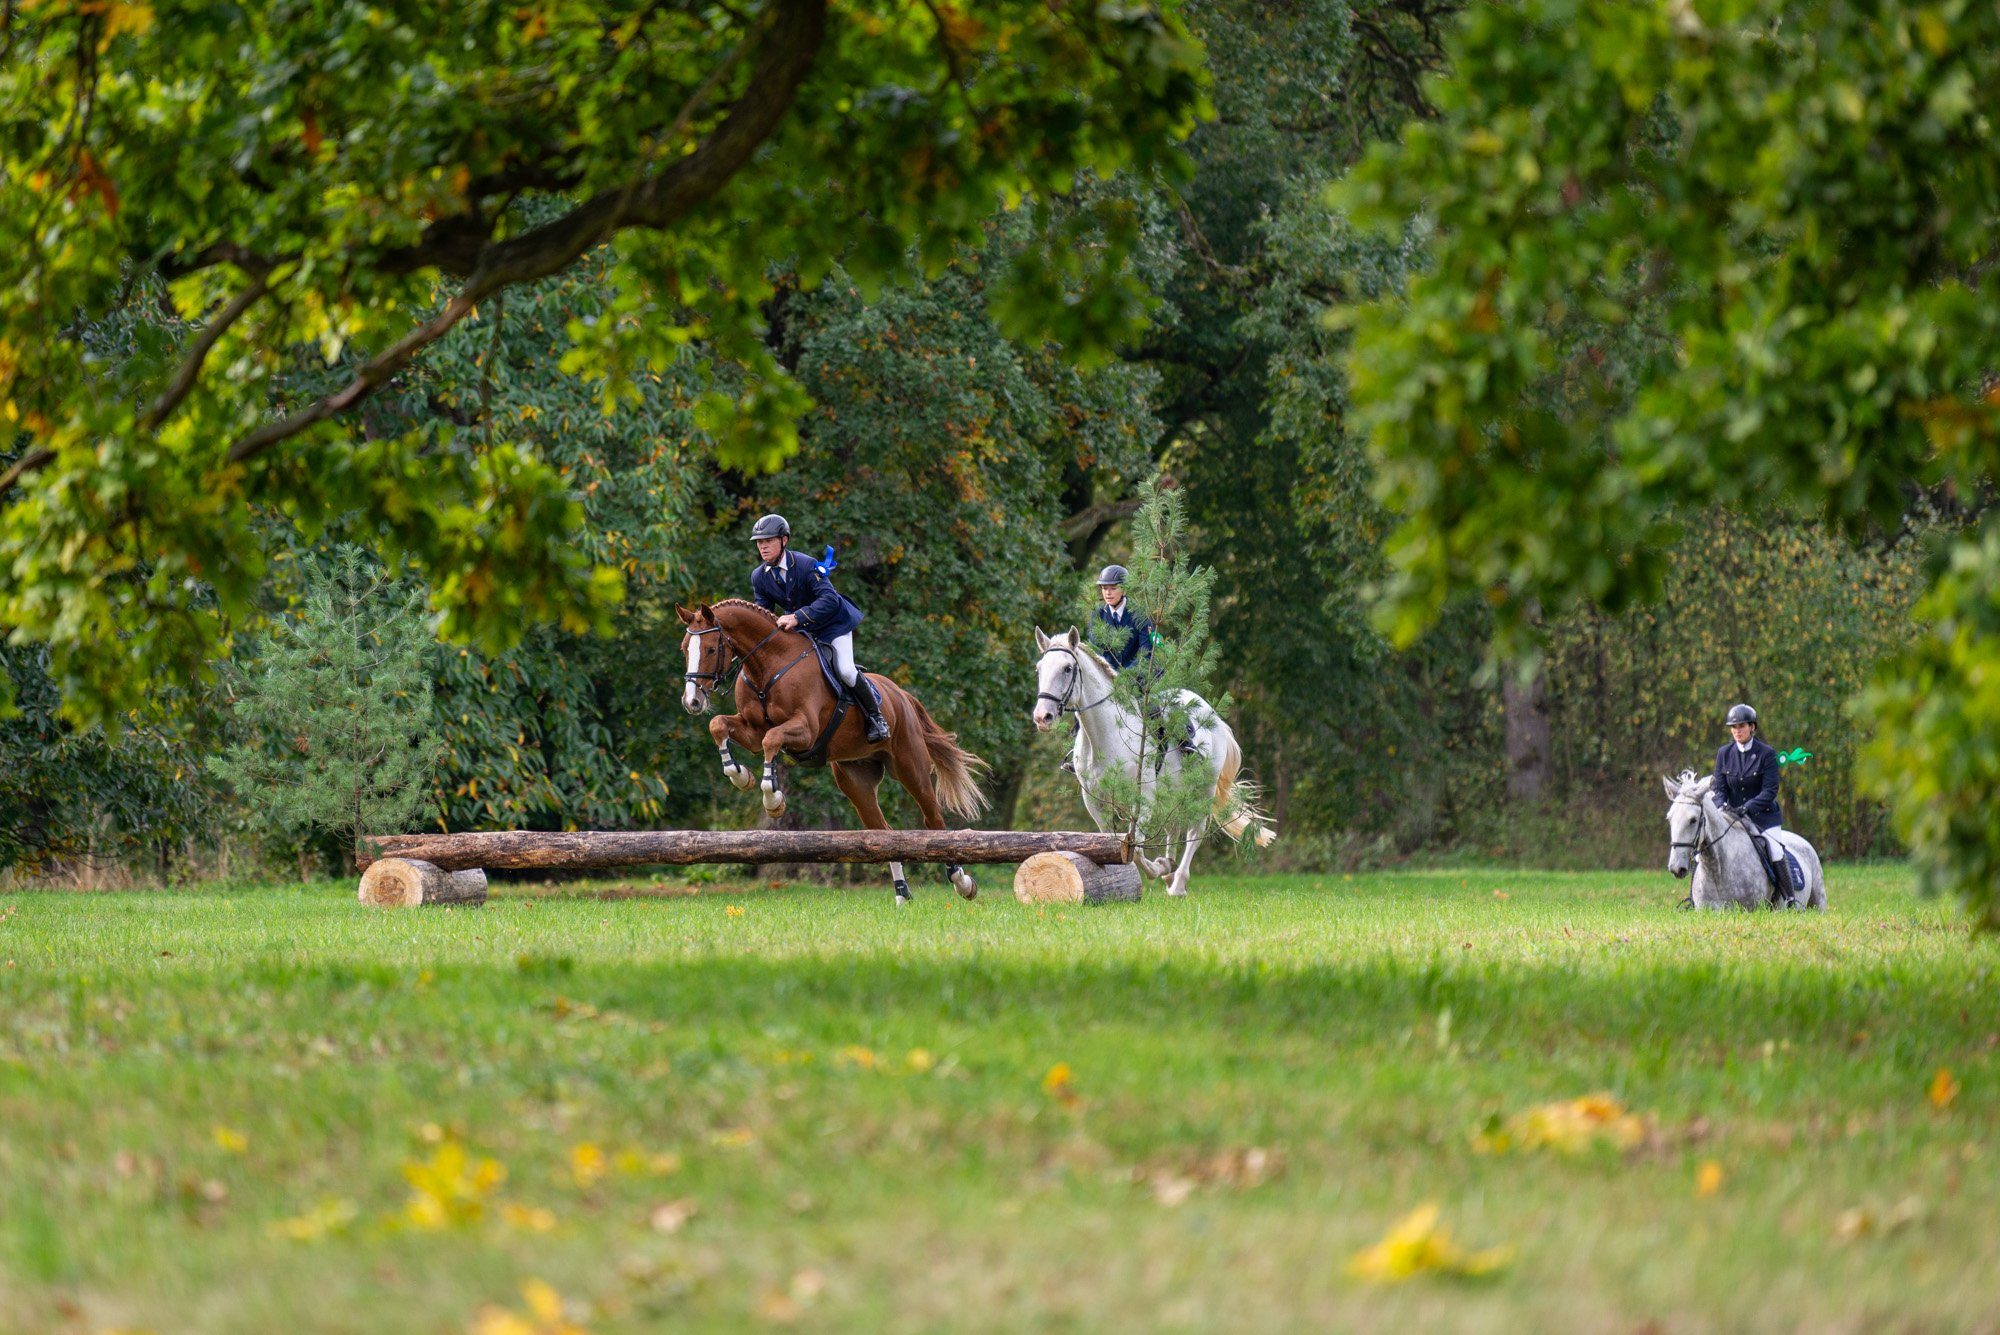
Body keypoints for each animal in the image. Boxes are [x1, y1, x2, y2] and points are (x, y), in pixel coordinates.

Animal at [676, 603, 988, 907]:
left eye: (711, 649)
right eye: (684, 648)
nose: (692, 701)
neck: (767, 665)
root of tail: (901, 695)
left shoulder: (805, 730)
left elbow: (771, 739)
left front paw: (772, 799)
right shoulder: (751, 731)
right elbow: (719, 726)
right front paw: (741, 776)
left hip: (911, 767)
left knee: (933, 821)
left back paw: (962, 883)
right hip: (856, 780)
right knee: (883, 833)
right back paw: (902, 895)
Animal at [1032, 627, 1280, 895]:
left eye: (1067, 668)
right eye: (1039, 669)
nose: (1042, 717)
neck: (1104, 735)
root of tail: (1212, 713)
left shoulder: (1145, 801)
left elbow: (1137, 848)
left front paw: (1157, 868)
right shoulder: (1095, 801)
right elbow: (1113, 843)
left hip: (1203, 788)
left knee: (1195, 831)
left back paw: (1177, 883)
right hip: (1172, 791)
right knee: (1175, 826)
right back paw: (1170, 871)